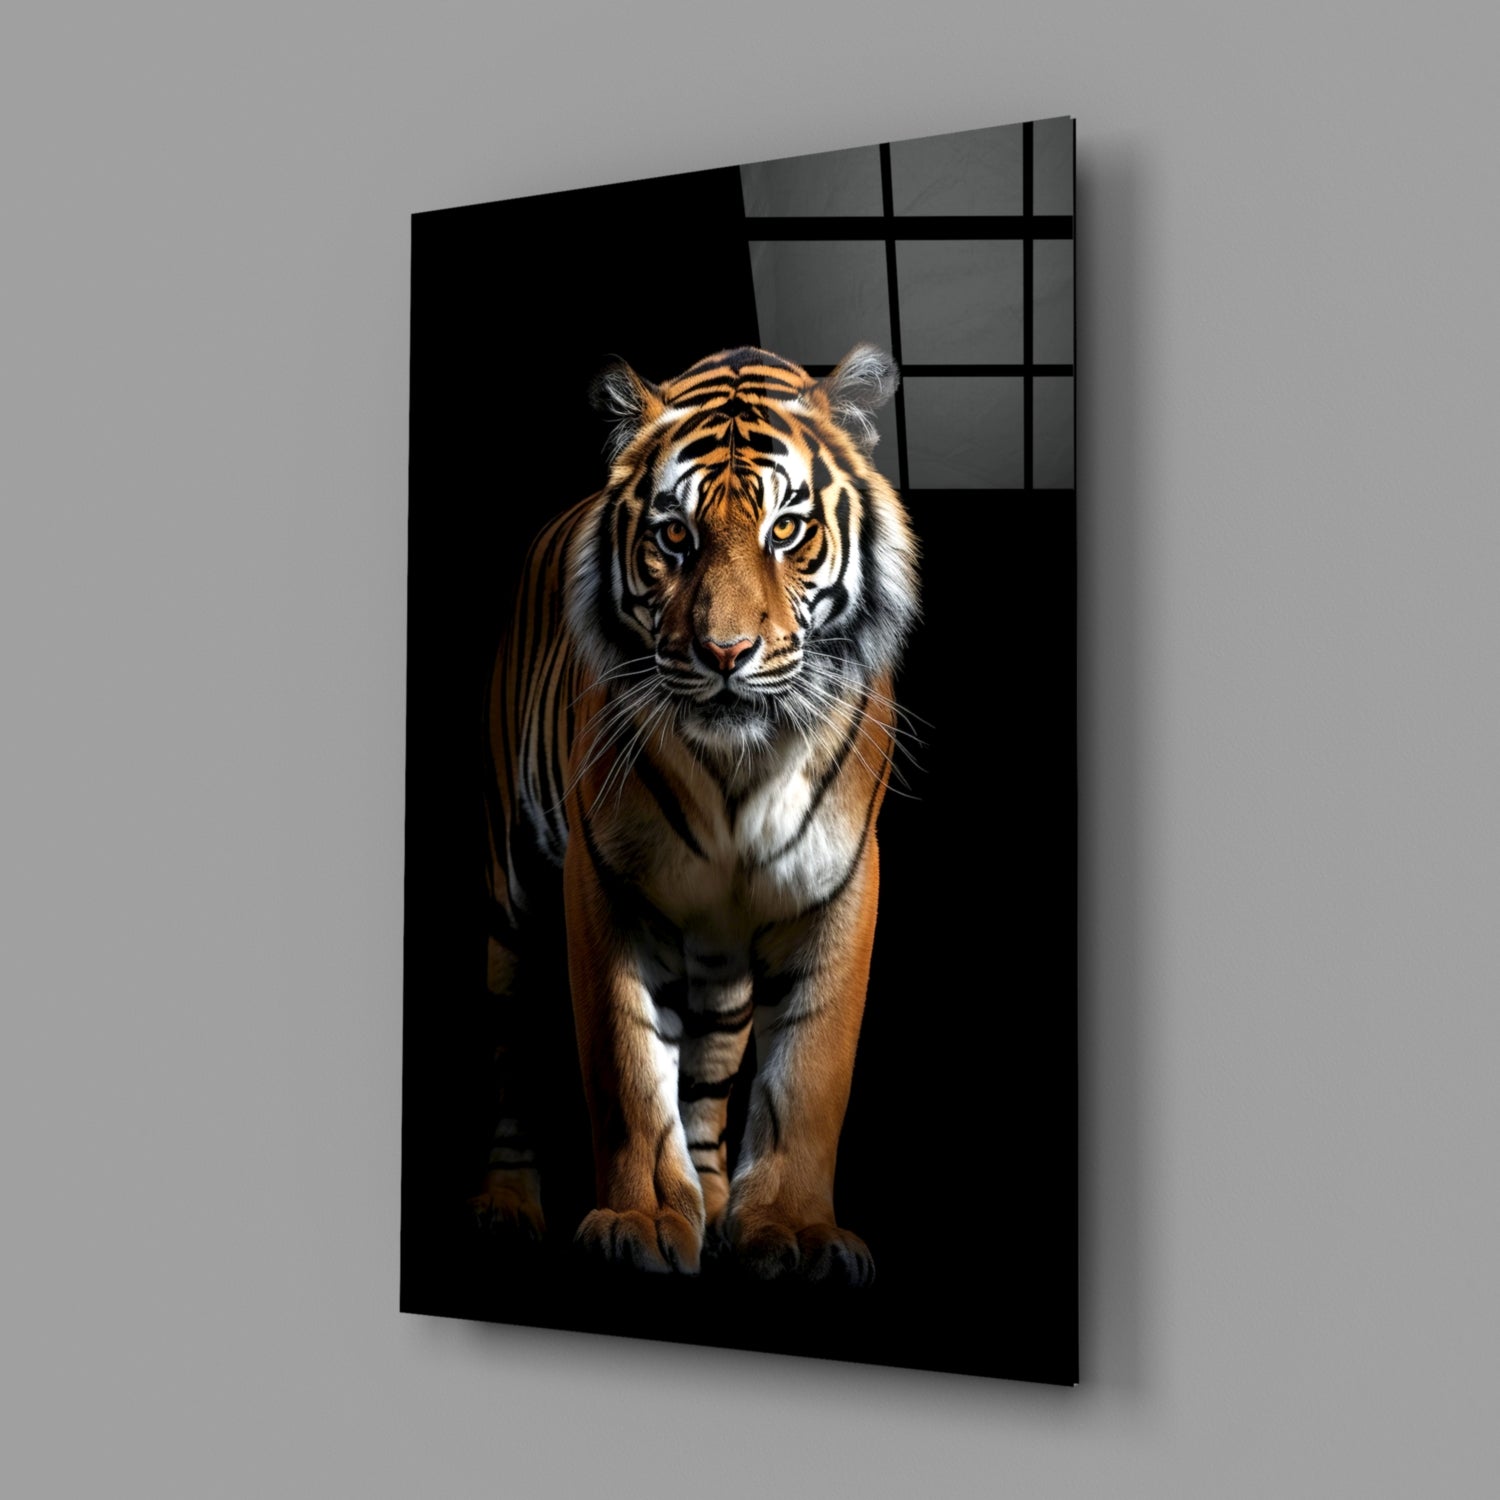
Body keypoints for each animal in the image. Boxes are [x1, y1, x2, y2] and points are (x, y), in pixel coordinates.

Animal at [471, 342, 920, 1285]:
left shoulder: (840, 882)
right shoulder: (602, 879)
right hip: (512, 893)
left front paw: (793, 1230)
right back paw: (506, 1205)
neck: (741, 769)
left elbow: (810, 1073)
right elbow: (628, 1064)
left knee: (712, 1066)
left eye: (786, 530)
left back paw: (713, 1201)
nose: (725, 652)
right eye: (673, 536)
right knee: (510, 1054)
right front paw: (639, 1220)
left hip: (719, 951)